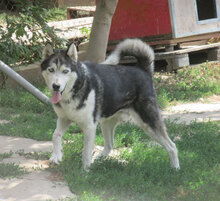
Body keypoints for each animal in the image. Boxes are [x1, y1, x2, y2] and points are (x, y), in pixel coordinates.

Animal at [40, 39, 180, 171]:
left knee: (172, 146)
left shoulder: (89, 126)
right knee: (109, 145)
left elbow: (86, 151)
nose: (56, 86)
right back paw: (98, 160)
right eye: (51, 70)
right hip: (106, 123)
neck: (76, 88)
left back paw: (175, 169)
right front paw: (56, 156)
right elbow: (56, 135)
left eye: (65, 71)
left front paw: (85, 171)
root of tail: (142, 70)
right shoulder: (64, 119)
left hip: (148, 122)